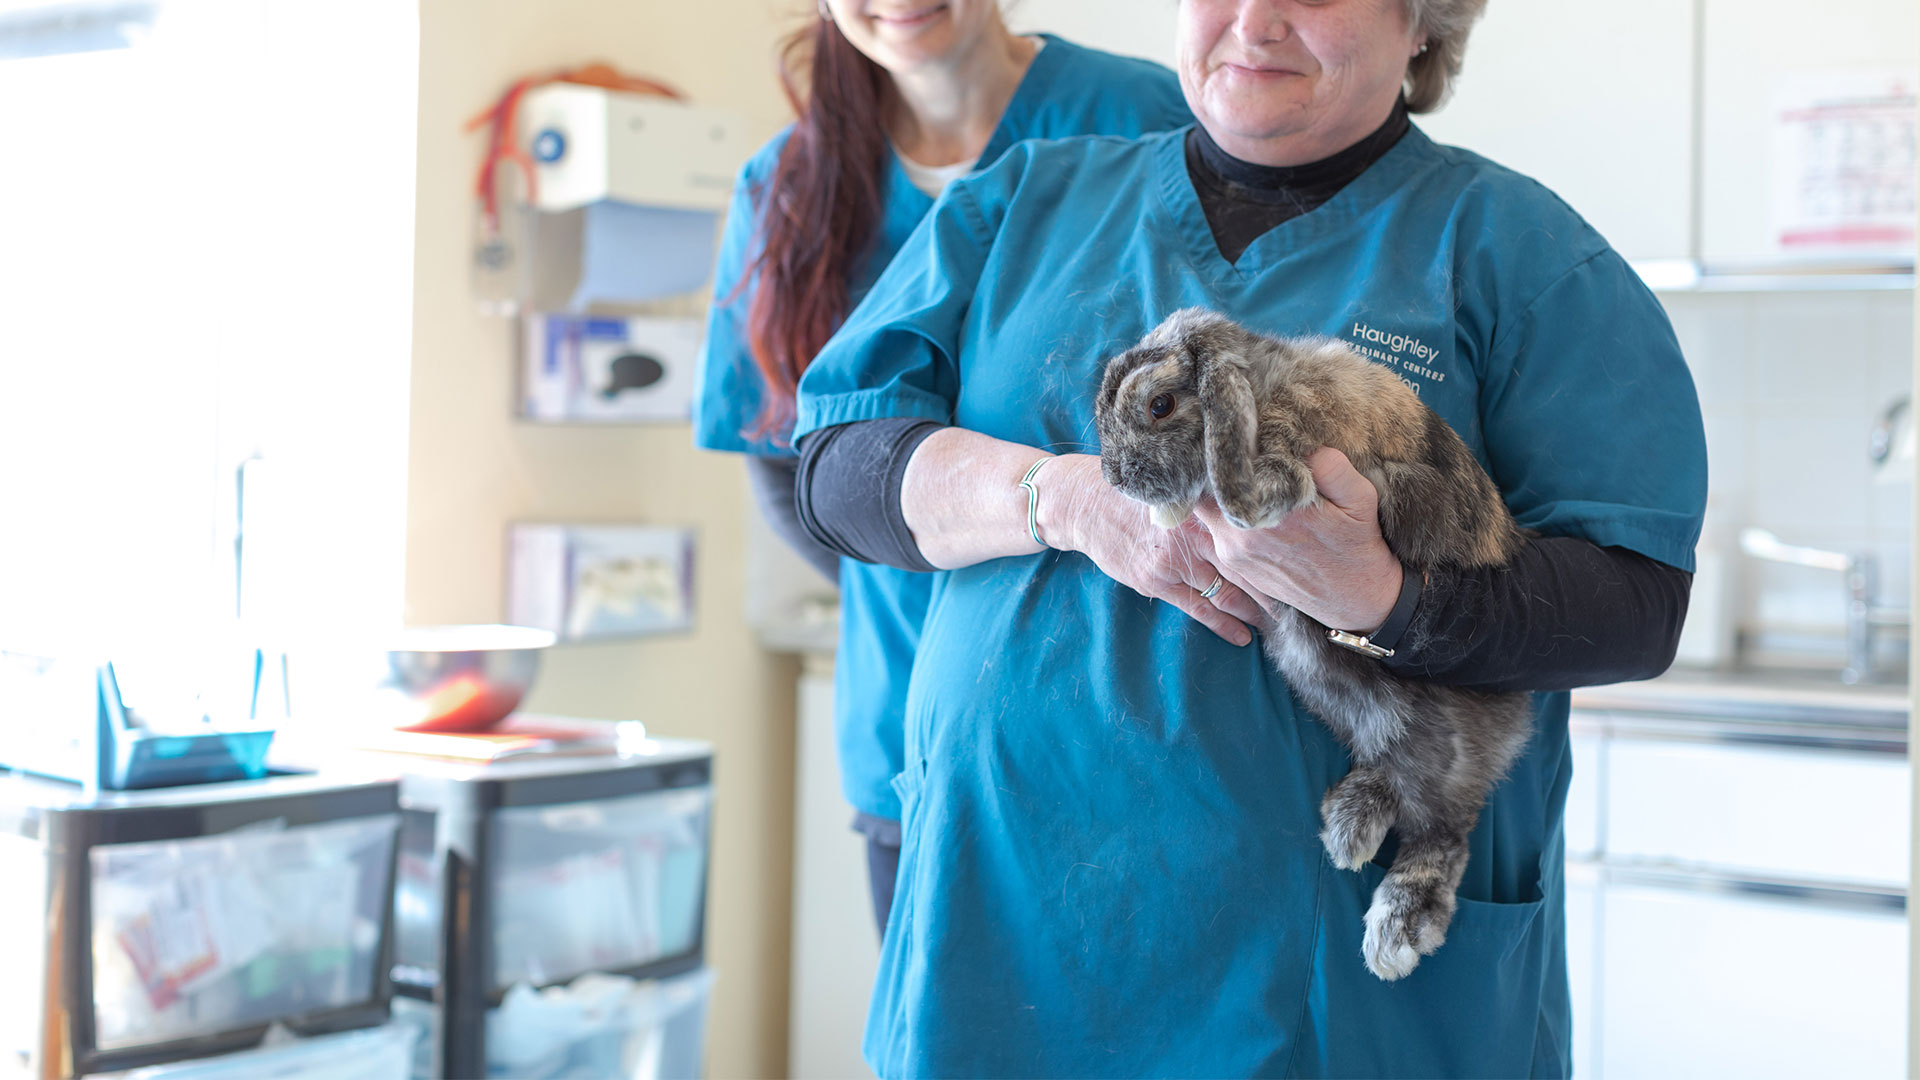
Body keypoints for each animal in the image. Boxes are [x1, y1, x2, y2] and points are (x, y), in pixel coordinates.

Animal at [1093, 307, 1535, 982]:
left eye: (1160, 405)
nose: (1115, 480)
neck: (1262, 380)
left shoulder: (1293, 437)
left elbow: (1269, 487)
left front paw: (1230, 501)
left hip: (1438, 737)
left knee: (1446, 830)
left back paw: (1398, 925)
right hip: (1340, 688)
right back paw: (1352, 825)